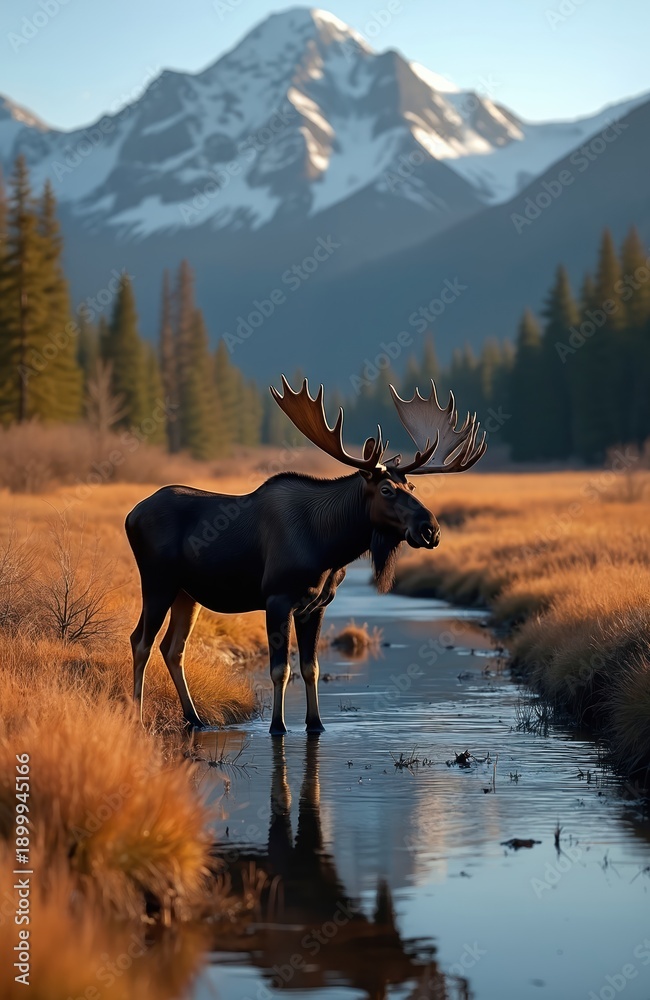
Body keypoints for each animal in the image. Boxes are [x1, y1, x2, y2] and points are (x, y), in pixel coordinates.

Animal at [125, 376, 486, 735]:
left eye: (411, 488)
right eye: (386, 490)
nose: (431, 530)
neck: (329, 547)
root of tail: (131, 515)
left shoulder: (316, 605)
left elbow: (311, 667)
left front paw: (316, 723)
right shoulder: (277, 597)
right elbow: (281, 669)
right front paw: (278, 726)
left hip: (187, 593)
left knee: (173, 648)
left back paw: (195, 718)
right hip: (157, 582)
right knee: (141, 641)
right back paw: (137, 717)